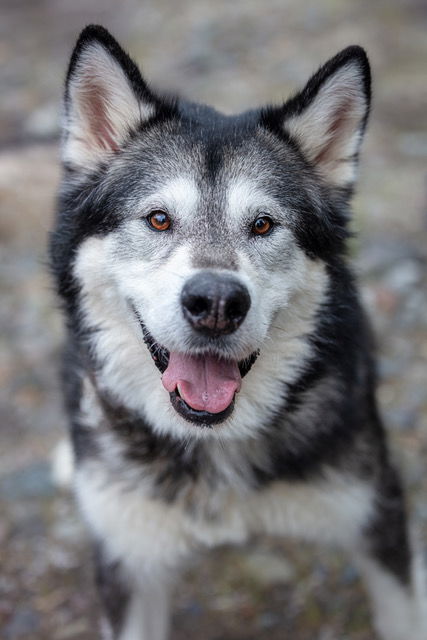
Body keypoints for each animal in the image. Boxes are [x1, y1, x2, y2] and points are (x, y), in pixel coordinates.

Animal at [51, 25, 427, 640]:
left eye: (264, 225)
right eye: (158, 219)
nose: (217, 303)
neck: (214, 443)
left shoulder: (378, 517)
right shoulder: (128, 558)